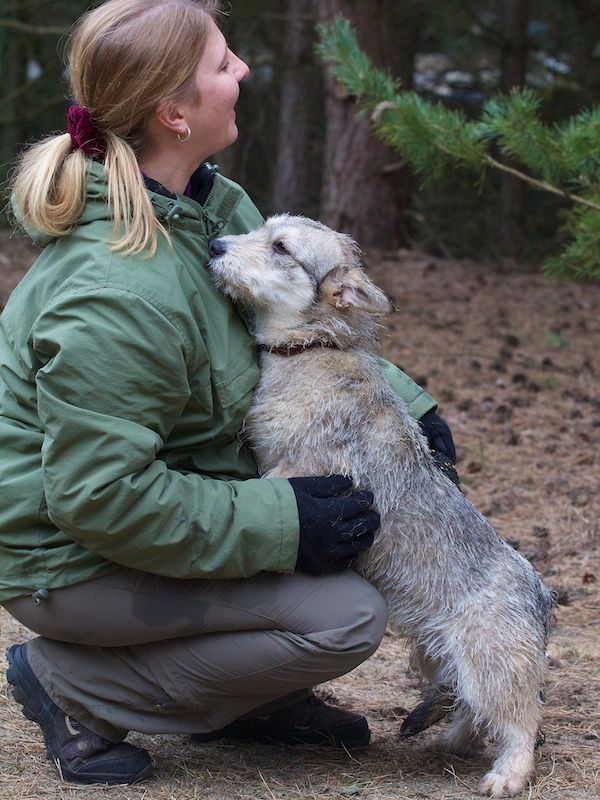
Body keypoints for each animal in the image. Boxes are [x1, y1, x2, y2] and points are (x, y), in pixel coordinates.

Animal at [207, 215, 555, 798]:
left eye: (280, 247)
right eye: (261, 227)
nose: (214, 245)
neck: (313, 348)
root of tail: (544, 594)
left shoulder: (295, 471)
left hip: (489, 666)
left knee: (519, 719)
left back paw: (508, 774)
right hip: (436, 656)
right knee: (470, 712)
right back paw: (445, 742)